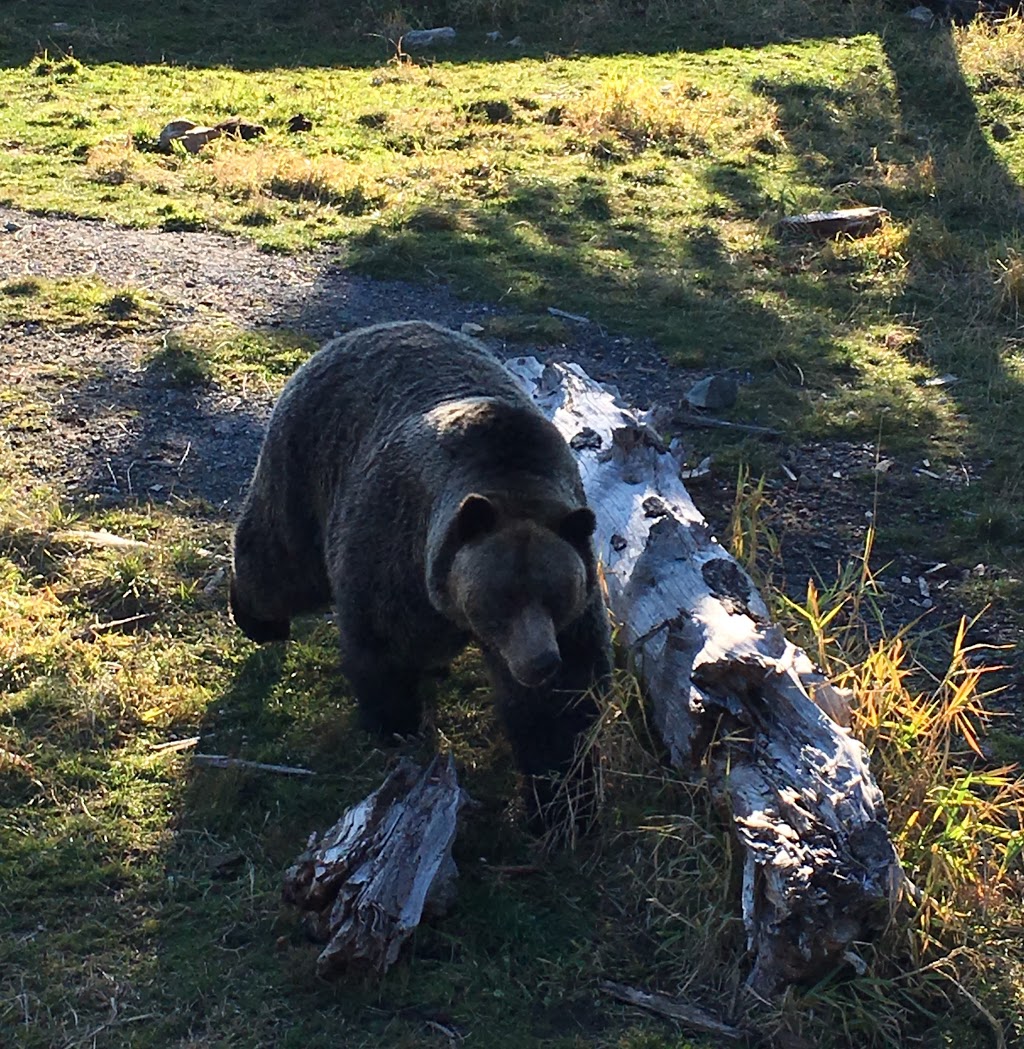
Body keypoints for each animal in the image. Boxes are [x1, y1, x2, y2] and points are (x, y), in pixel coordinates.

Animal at [230, 318, 612, 826]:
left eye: (556, 595)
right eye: (501, 598)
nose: (539, 662)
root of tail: (368, 329)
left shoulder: (574, 611)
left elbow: (563, 708)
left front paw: (563, 805)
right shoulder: (399, 555)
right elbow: (385, 644)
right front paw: (395, 723)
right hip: (309, 462)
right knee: (282, 561)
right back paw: (256, 619)